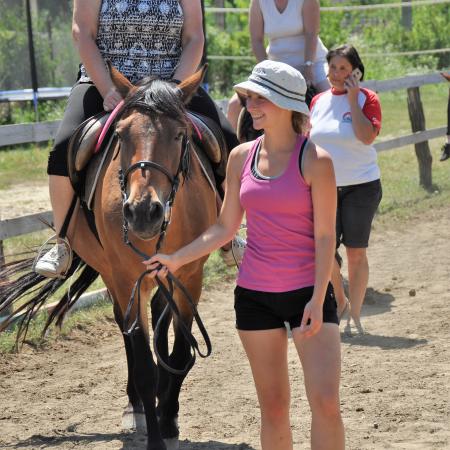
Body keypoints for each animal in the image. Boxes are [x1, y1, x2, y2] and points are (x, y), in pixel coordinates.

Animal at [0, 67, 218, 450]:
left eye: (180, 134)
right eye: (120, 134)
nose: (143, 212)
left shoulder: (190, 276)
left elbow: (180, 351)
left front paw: (169, 418)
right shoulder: (125, 277)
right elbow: (143, 363)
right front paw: (154, 432)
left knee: (160, 319)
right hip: (116, 277)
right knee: (128, 332)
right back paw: (138, 408)